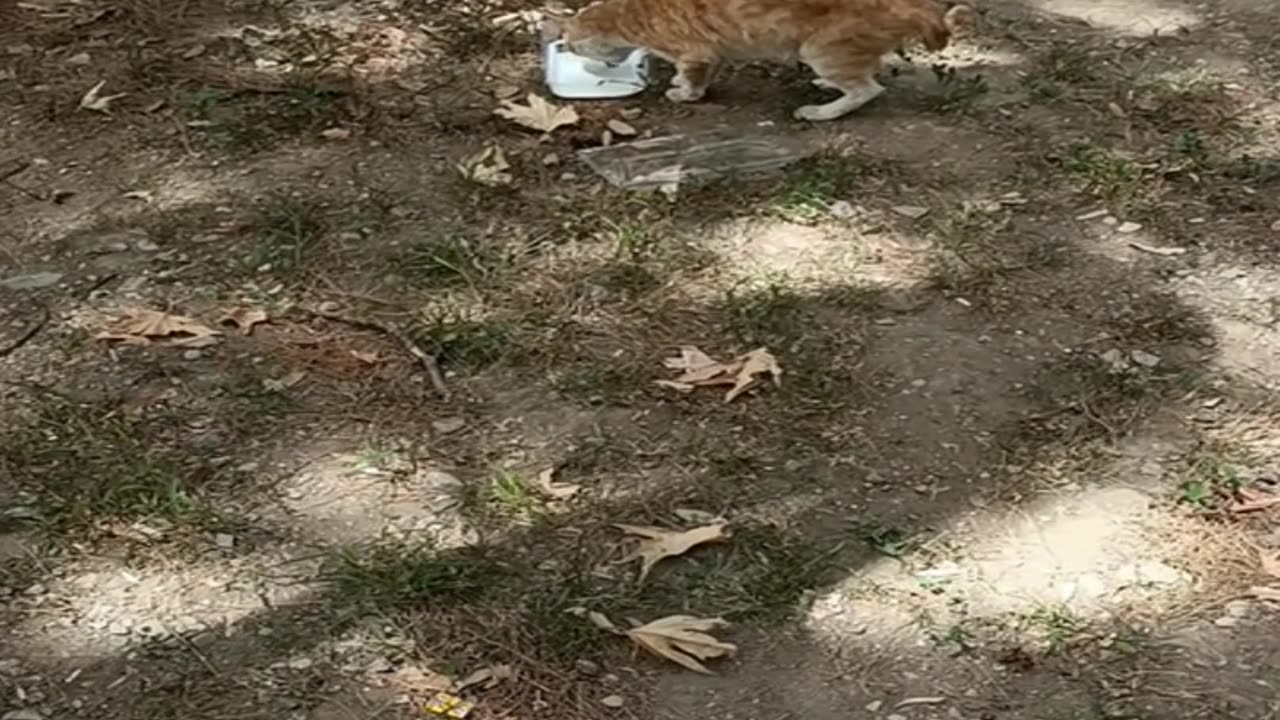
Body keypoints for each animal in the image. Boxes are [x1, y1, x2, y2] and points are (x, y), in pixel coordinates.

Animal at [565, 0, 972, 119]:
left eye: (570, 42)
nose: (565, 46)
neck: (628, 15)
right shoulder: (713, 51)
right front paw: (681, 84)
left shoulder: (695, 52)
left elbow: (694, 79)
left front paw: (683, 92)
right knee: (866, 72)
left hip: (820, 49)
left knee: (867, 90)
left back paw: (821, 112)